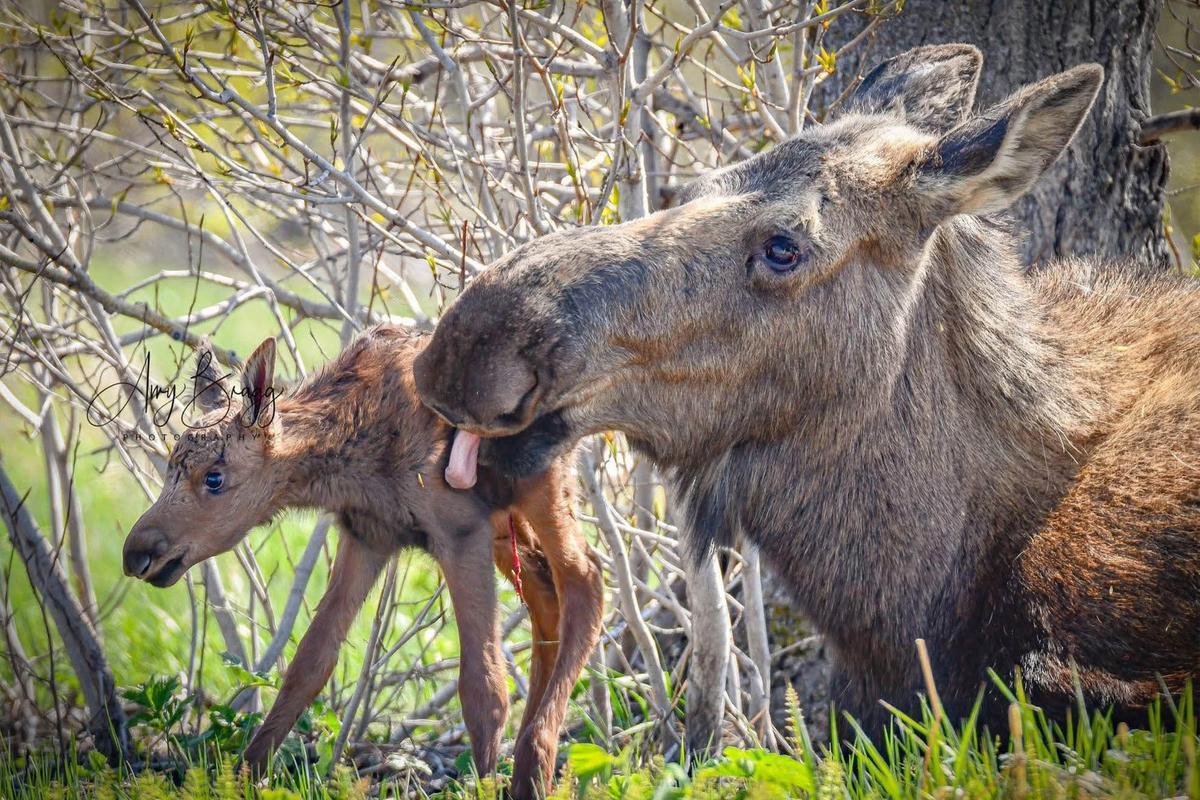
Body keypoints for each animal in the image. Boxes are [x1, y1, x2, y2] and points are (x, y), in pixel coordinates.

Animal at [122, 327, 604, 798]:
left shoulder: (459, 530)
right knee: (545, 596)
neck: (353, 457)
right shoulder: (367, 536)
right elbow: (308, 664)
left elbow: (484, 690)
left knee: (586, 579)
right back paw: (530, 770)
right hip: (505, 520)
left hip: (540, 483)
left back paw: (536, 756)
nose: (135, 553)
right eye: (170, 467)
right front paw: (243, 777)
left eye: (215, 478)